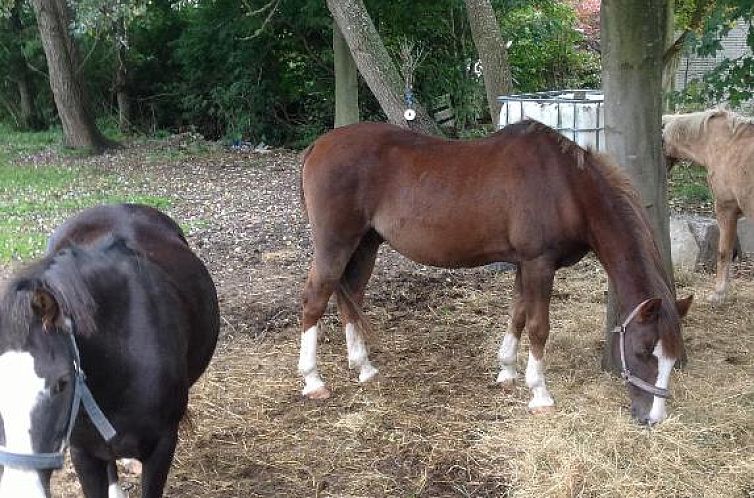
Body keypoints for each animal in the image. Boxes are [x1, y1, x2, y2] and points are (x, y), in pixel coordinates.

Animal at [296, 120, 692, 424]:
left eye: (673, 358)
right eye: (643, 351)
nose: (653, 418)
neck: (566, 186)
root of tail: (318, 145)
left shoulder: (523, 264)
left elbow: (517, 314)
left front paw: (506, 372)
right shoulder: (538, 263)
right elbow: (538, 326)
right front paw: (540, 394)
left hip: (366, 245)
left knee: (350, 296)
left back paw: (363, 366)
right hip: (335, 245)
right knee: (315, 299)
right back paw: (313, 381)